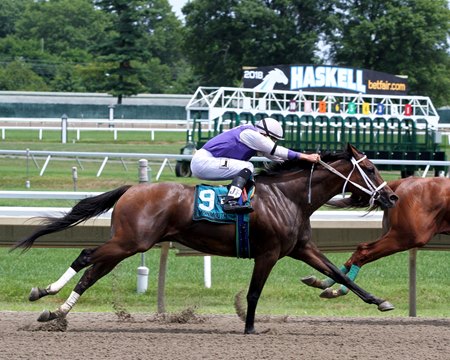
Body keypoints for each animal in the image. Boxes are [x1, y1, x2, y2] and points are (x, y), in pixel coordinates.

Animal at [12, 142, 398, 334]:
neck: (287, 197)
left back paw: (56, 312)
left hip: (126, 243)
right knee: (85, 256)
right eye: (371, 168)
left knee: (93, 271)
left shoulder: (301, 248)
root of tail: (131, 190)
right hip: (132, 242)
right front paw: (250, 328)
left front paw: (379, 300)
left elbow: (336, 272)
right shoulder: (269, 253)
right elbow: (254, 292)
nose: (392, 197)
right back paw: (43, 293)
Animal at [302, 175, 450, 298]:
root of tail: (401, 182)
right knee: (363, 250)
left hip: (393, 233)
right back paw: (340, 289)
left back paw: (325, 284)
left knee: (358, 253)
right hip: (407, 236)